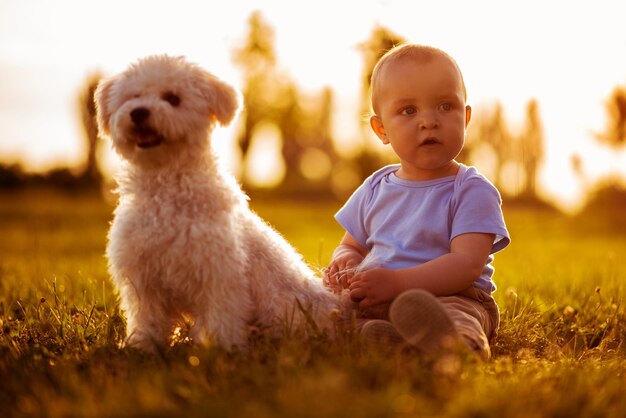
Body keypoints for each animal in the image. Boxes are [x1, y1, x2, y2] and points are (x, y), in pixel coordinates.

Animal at [95, 54, 342, 350]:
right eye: (133, 96)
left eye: (173, 98)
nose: (139, 112)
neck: (165, 184)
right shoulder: (144, 279)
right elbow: (148, 318)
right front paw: (142, 345)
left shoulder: (220, 274)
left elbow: (222, 317)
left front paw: (221, 348)